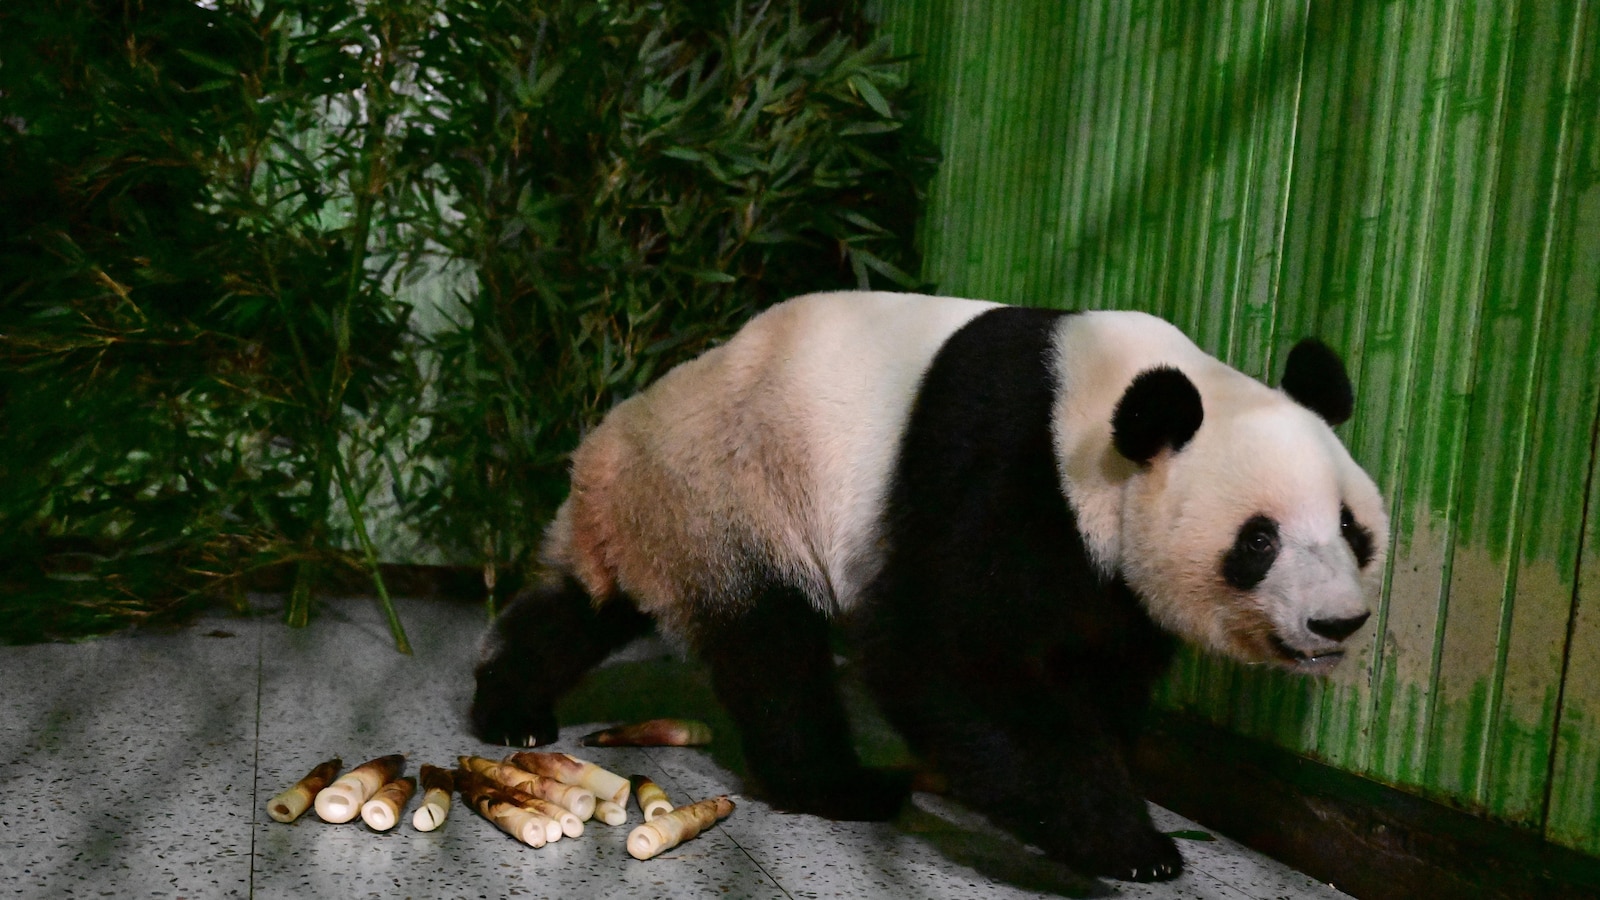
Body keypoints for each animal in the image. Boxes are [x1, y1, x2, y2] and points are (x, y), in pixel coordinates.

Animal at [470, 290, 1388, 882]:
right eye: (1259, 540)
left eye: (1352, 529)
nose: (1337, 624)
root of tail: (607, 442)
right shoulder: (1002, 462)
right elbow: (942, 652)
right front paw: (1129, 843)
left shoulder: (1109, 576)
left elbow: (1096, 667)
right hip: (730, 496)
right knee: (774, 652)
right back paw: (840, 786)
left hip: (662, 519)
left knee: (582, 608)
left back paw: (508, 706)